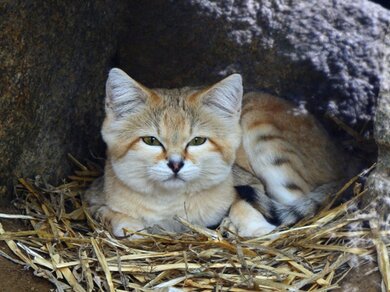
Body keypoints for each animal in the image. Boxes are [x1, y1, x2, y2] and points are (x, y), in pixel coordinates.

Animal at [84, 68, 346, 237]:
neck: (172, 202)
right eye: (151, 141)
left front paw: (254, 227)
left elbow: (243, 203)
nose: (176, 164)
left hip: (259, 129)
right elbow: (114, 218)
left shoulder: (250, 182)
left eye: (198, 141)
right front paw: (132, 226)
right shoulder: (90, 199)